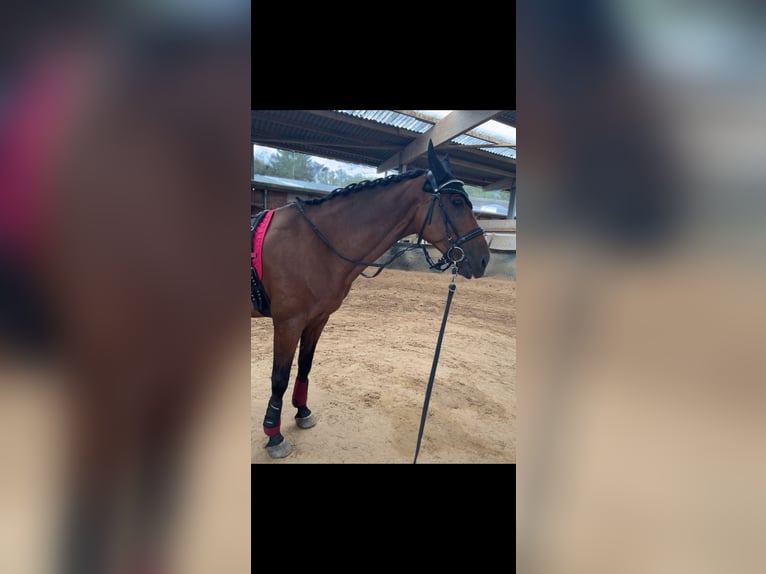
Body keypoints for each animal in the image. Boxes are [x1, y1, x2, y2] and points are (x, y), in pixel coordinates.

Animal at [251, 140, 492, 458]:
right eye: (455, 203)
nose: (483, 260)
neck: (312, 243)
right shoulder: (288, 323)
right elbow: (279, 378)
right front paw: (274, 435)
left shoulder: (317, 320)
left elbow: (305, 366)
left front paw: (302, 411)